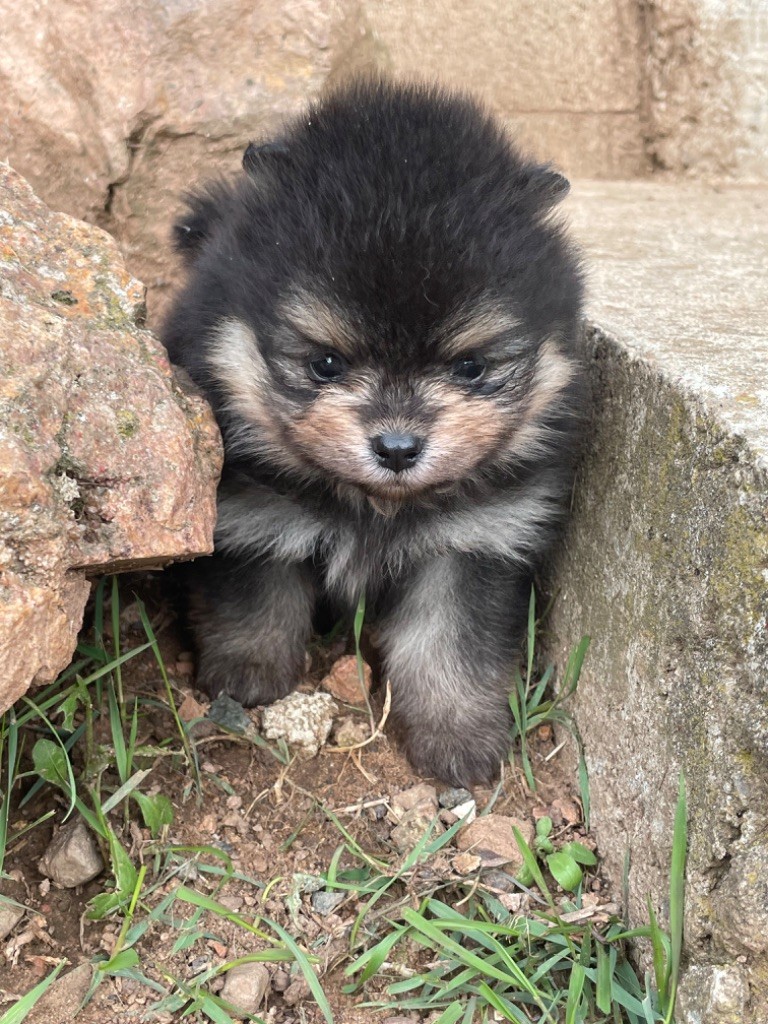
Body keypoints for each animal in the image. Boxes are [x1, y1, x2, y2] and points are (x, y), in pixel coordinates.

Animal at [162, 79, 581, 786]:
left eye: (470, 368)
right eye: (326, 363)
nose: (397, 448)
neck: (377, 509)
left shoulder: (476, 542)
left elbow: (450, 647)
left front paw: (458, 738)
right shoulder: (252, 514)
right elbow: (255, 600)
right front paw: (248, 674)